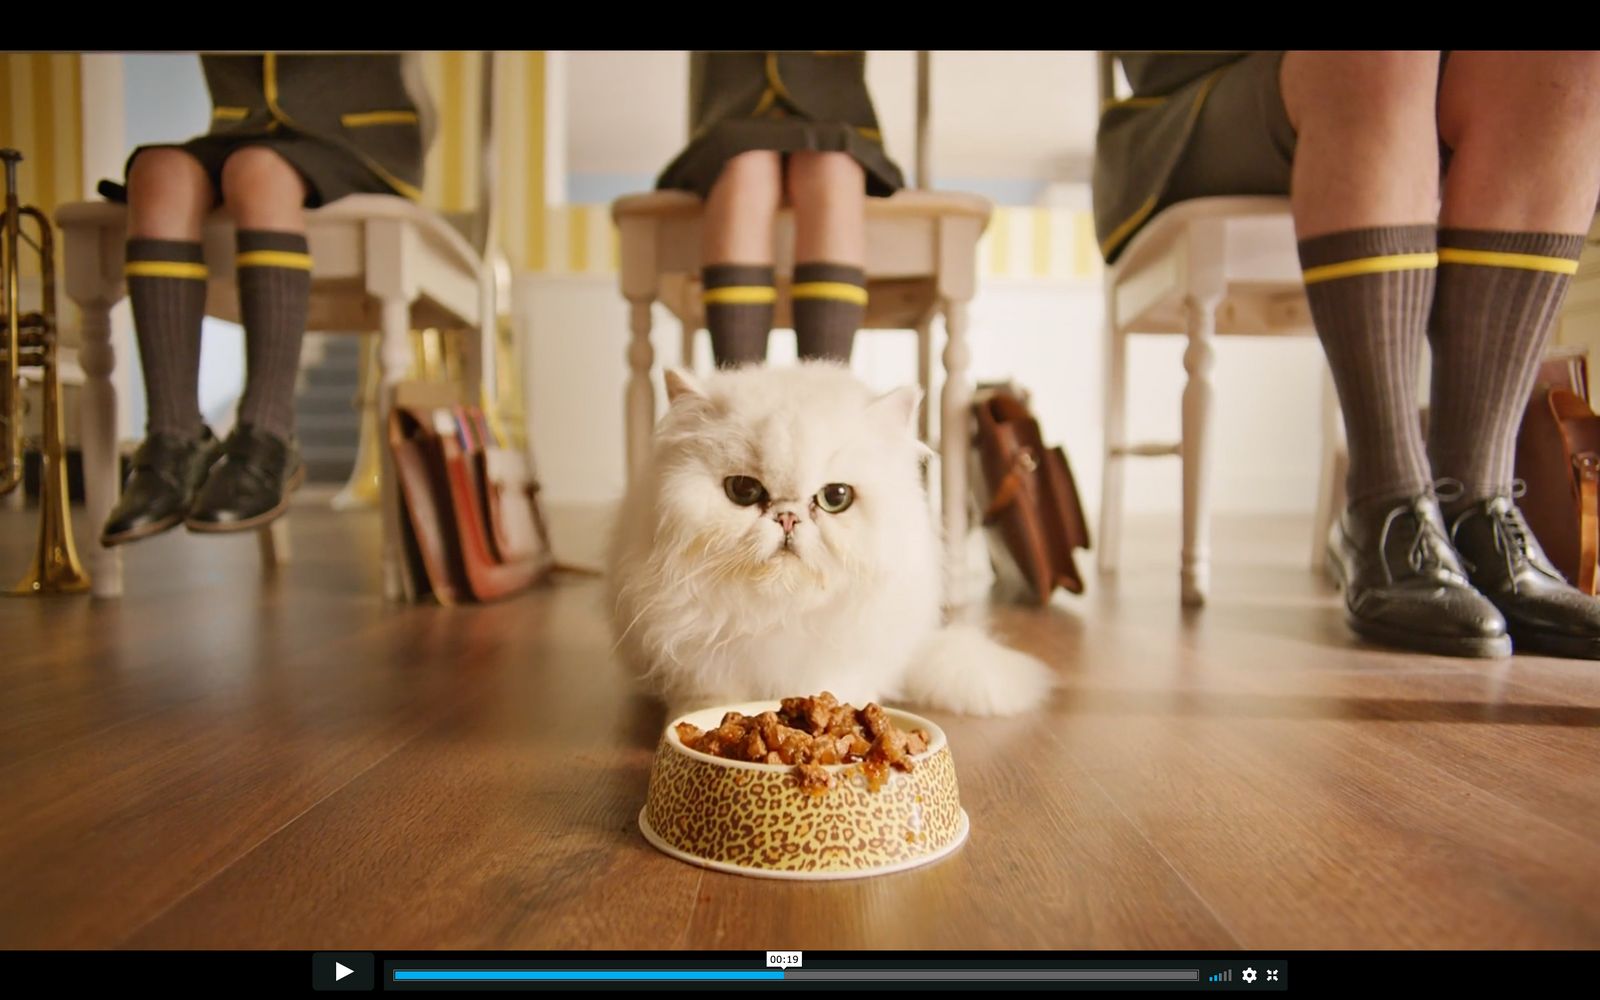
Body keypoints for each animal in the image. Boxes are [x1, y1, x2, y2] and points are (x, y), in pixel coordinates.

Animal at [604, 360, 1056, 716]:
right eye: (743, 491)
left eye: (835, 497)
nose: (787, 518)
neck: (780, 612)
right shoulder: (701, 661)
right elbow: (711, 699)